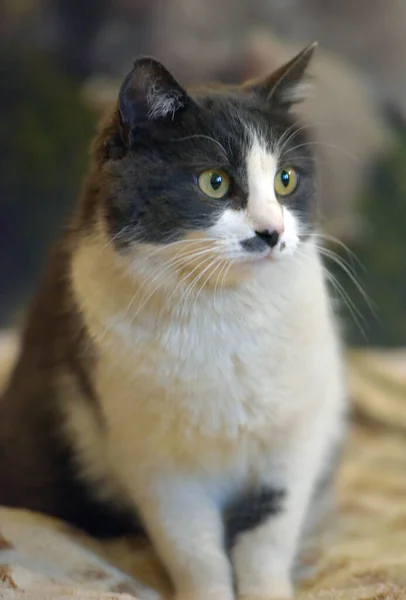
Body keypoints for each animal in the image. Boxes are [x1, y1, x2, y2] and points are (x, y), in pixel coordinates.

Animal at [0, 43, 346, 600]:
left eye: (286, 179)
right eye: (214, 182)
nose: (272, 232)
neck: (223, 312)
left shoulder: (294, 433)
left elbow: (267, 536)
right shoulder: (156, 461)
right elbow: (194, 549)